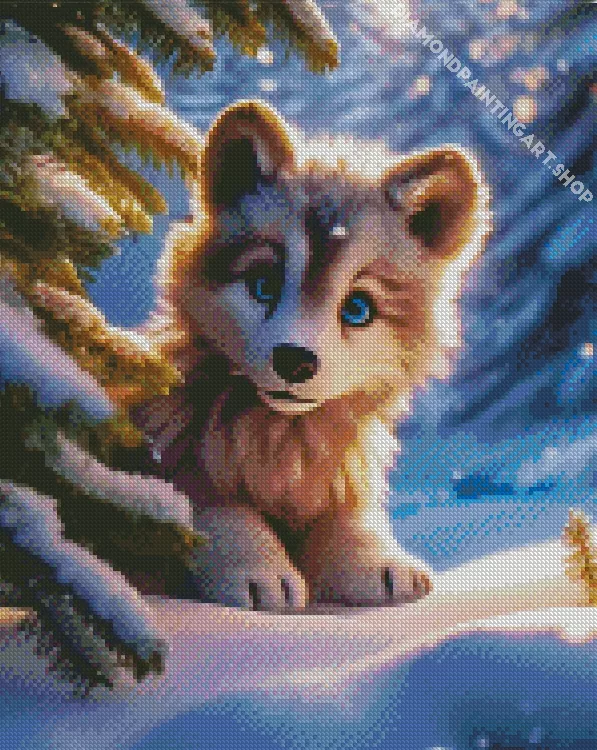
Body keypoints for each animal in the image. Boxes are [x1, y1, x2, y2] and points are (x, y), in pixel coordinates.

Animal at [134, 99, 490, 611]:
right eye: (263, 284)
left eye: (358, 308)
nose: (295, 361)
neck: (281, 440)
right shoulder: (175, 455)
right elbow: (215, 507)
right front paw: (258, 566)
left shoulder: (337, 471)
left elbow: (345, 514)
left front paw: (372, 560)